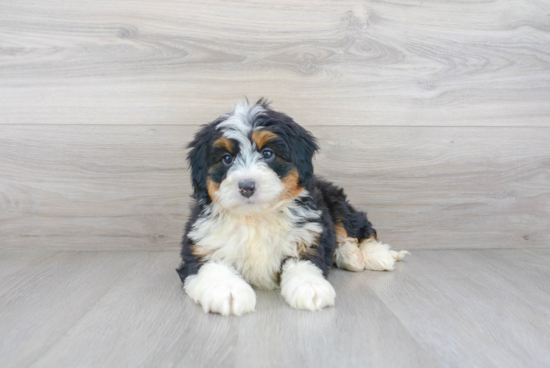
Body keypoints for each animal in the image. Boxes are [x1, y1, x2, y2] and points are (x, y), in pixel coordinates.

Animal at [178, 99, 410, 314]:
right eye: (227, 159)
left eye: (268, 154)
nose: (246, 186)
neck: (256, 217)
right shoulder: (201, 244)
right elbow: (212, 265)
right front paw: (228, 291)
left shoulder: (308, 237)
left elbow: (303, 263)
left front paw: (310, 287)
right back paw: (349, 255)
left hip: (335, 201)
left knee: (357, 228)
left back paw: (374, 254)